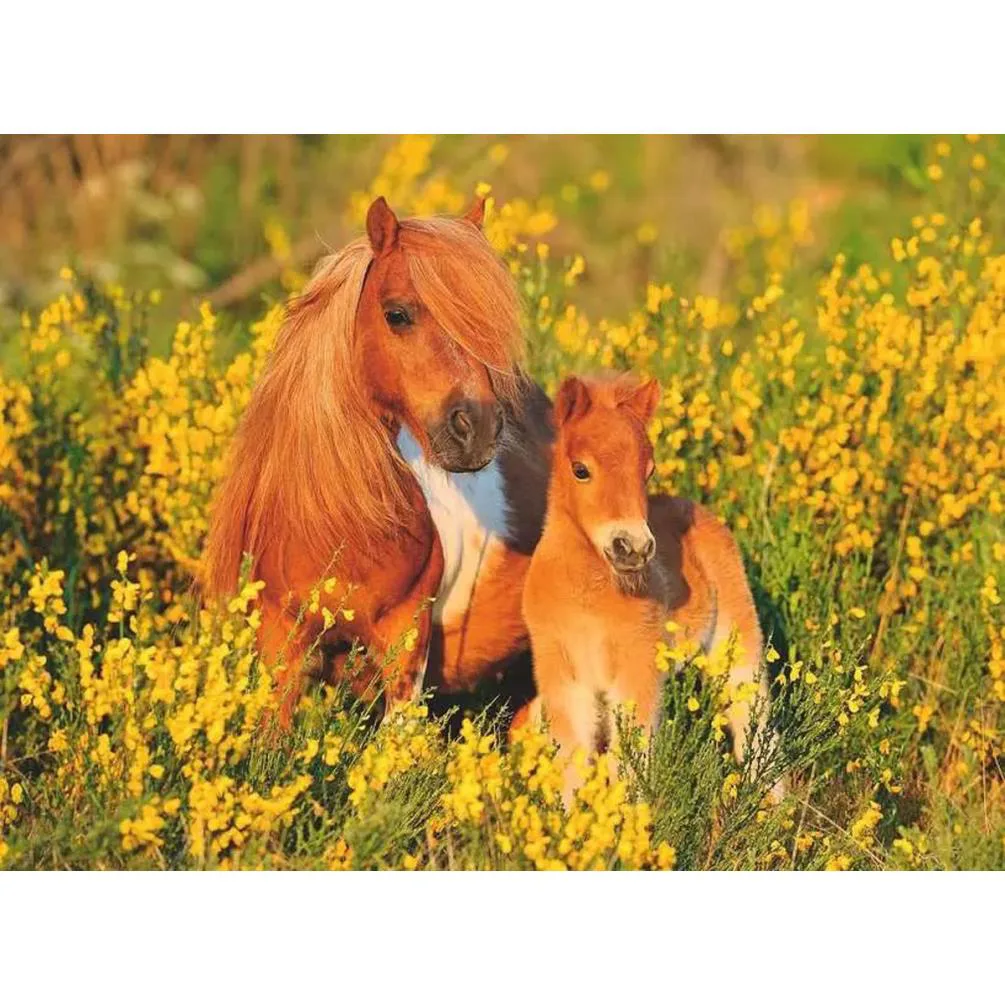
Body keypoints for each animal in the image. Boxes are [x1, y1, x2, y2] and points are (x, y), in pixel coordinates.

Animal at [517, 373, 779, 802]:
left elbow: (630, 762)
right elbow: (572, 762)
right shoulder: (563, 676)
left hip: (736, 640)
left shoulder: (635, 670)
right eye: (580, 470)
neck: (587, 599)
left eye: (648, 471)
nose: (633, 547)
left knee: (754, 723)